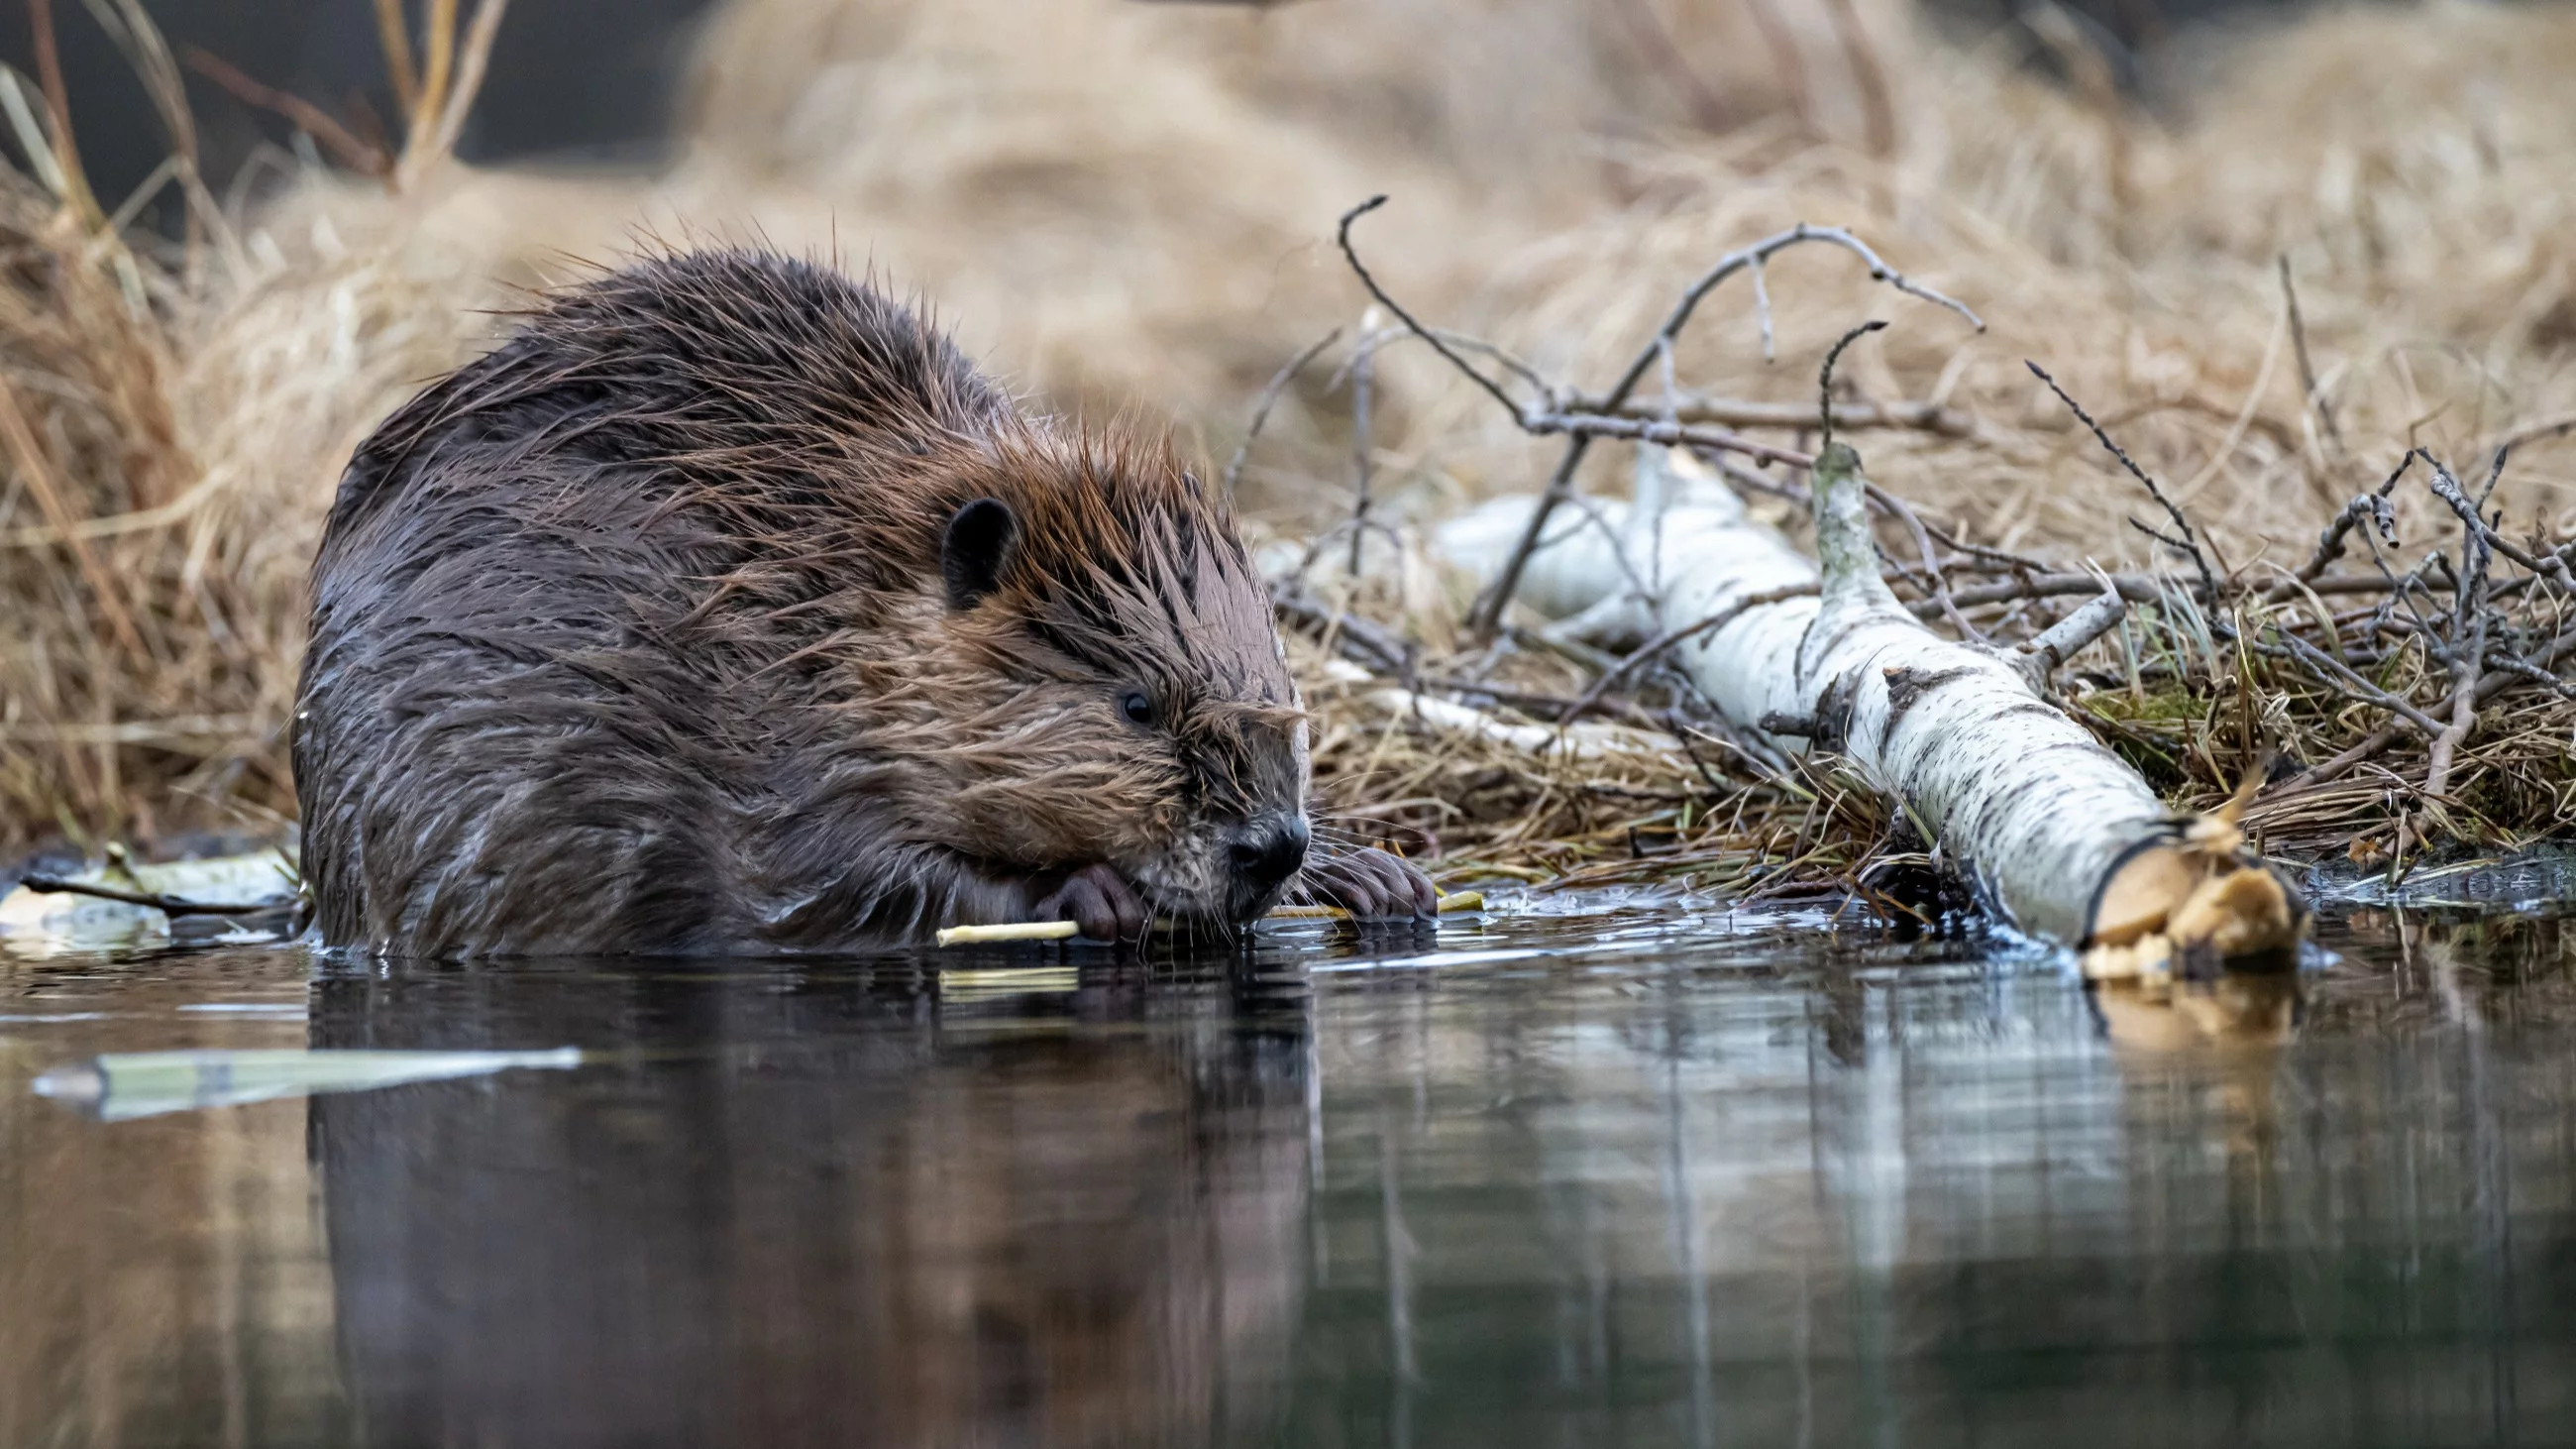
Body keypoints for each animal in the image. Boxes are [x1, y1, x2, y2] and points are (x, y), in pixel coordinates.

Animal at [303, 243, 1443, 953]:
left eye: (1280, 683)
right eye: (1135, 703)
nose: (1271, 843)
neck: (804, 597)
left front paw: (1373, 874)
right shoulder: (754, 748)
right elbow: (822, 882)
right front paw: (1083, 893)